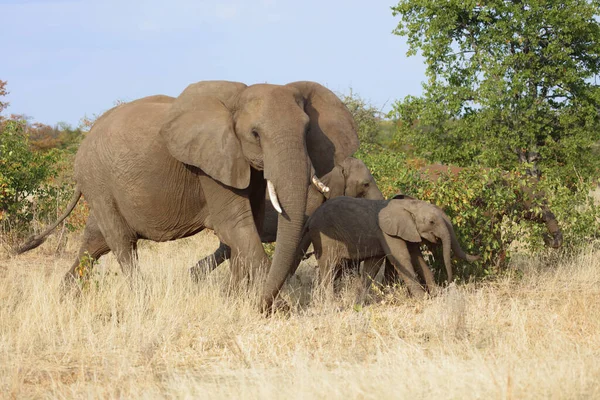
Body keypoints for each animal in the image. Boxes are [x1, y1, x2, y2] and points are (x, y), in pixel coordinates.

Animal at [16, 79, 358, 310]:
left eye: (307, 131)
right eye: (255, 134)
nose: (266, 305)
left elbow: (248, 227)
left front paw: (235, 301)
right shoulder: (210, 163)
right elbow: (236, 226)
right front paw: (275, 307)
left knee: (94, 242)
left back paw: (62, 299)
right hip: (97, 179)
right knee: (122, 242)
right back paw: (141, 301)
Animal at [304, 196, 478, 296]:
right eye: (431, 222)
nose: (448, 283)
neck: (408, 205)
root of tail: (311, 218)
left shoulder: (408, 231)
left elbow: (417, 259)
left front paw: (436, 296)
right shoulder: (388, 233)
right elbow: (402, 258)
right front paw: (423, 299)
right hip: (324, 239)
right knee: (329, 267)